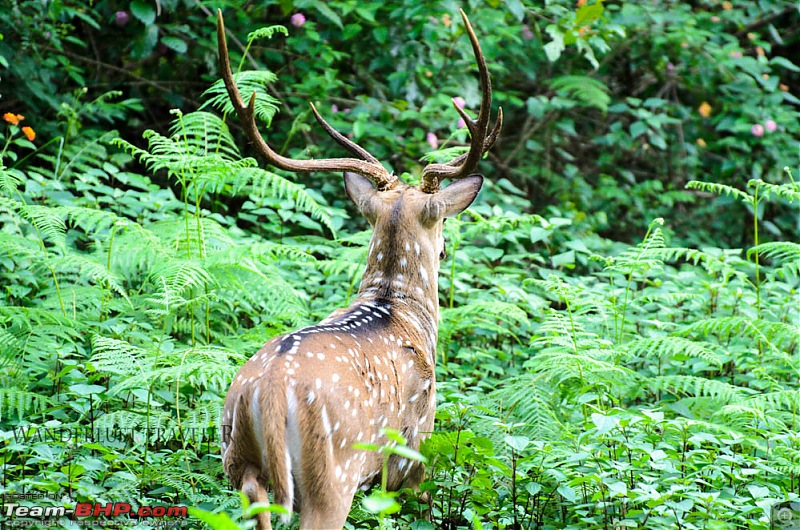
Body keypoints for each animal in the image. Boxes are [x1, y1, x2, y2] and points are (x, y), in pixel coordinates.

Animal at [217, 9, 500, 528]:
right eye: (442, 226)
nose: (444, 250)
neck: (397, 305)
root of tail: (267, 392)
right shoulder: (414, 444)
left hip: (237, 458)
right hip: (333, 473)